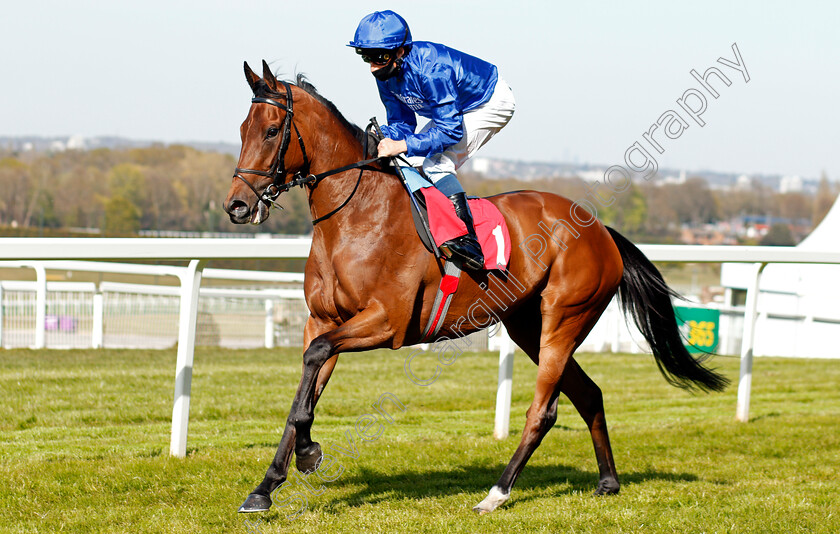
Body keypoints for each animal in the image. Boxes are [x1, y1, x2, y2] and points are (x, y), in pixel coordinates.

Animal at [225, 60, 728, 516]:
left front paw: (308, 455)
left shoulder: (386, 322)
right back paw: (607, 482)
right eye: (242, 128)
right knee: (589, 394)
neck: (357, 216)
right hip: (527, 325)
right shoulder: (323, 321)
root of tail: (601, 229)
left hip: (565, 318)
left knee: (543, 411)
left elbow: (313, 366)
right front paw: (265, 487)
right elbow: (303, 392)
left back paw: (497, 493)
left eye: (272, 131)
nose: (237, 205)